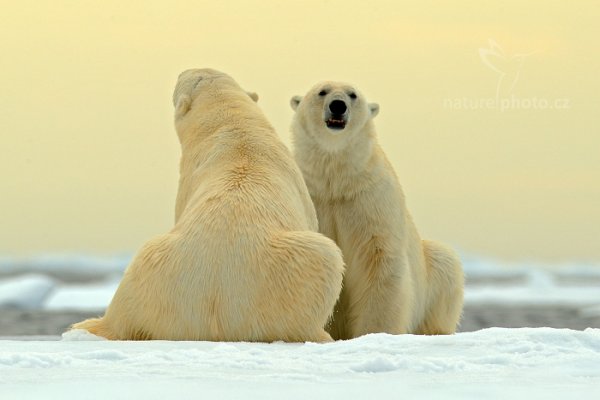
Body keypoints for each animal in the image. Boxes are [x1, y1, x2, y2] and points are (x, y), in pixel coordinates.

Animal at [290, 81, 464, 338]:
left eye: (353, 95)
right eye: (322, 91)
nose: (338, 105)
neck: (336, 182)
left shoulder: (370, 200)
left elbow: (379, 260)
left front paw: (374, 333)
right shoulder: (314, 196)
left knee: (445, 261)